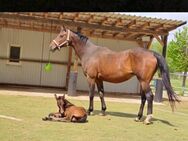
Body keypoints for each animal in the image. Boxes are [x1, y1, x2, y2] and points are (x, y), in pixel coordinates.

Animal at [49, 25, 178, 124]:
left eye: (61, 36)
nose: (51, 46)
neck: (90, 53)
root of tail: (151, 53)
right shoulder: (99, 79)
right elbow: (101, 93)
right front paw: (103, 111)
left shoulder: (91, 78)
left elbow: (91, 94)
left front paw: (90, 111)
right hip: (144, 81)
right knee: (143, 98)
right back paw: (138, 117)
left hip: (144, 81)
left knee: (149, 96)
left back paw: (148, 118)